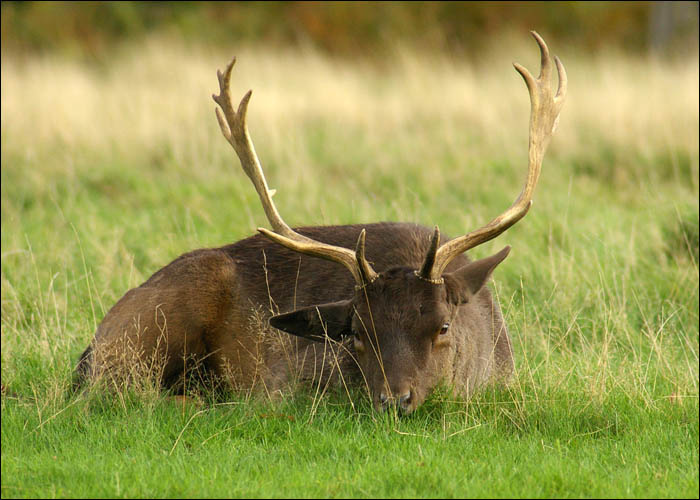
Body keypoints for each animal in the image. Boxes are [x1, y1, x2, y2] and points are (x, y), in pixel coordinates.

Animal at [74, 32, 566, 414]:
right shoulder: (284, 379)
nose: (395, 399)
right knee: (125, 393)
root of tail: (92, 345)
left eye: (443, 326)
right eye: (356, 333)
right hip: (143, 336)